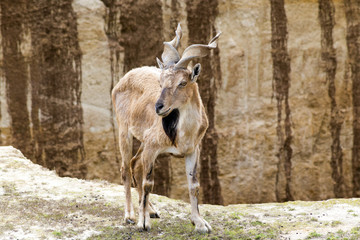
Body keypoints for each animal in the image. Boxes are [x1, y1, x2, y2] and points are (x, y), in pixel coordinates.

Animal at [111, 23, 221, 232]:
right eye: (160, 82)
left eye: (182, 83)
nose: (159, 107)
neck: (181, 134)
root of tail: (124, 77)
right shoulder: (152, 147)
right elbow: (148, 183)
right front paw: (143, 223)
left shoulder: (192, 150)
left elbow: (194, 185)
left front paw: (200, 223)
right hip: (123, 131)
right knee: (125, 168)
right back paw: (130, 215)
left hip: (142, 142)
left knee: (135, 164)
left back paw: (151, 210)